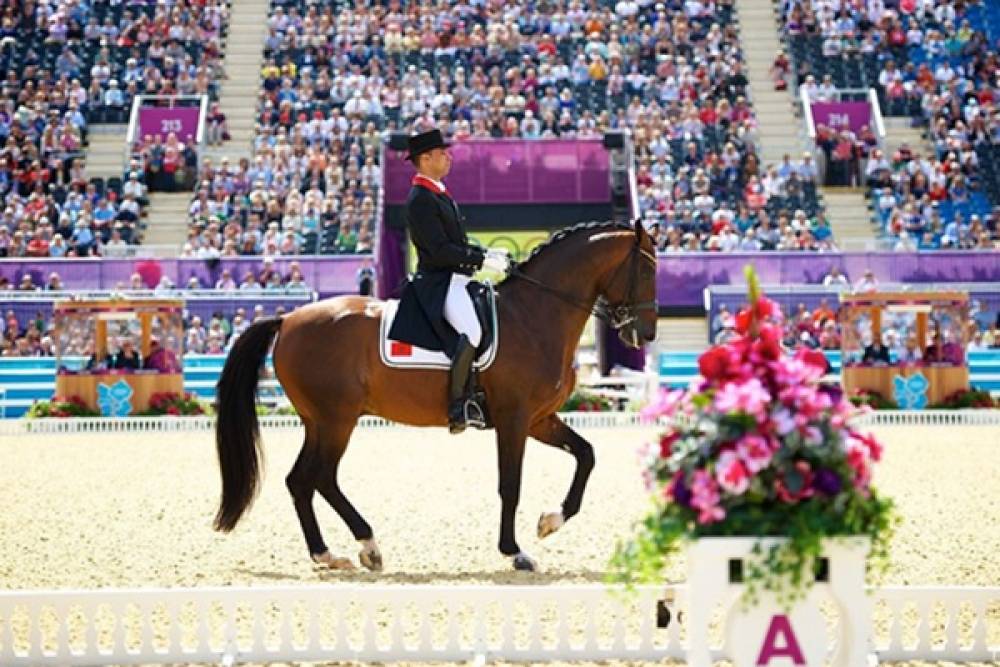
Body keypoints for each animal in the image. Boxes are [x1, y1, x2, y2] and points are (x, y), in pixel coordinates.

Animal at [215, 217, 660, 572]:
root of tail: (288, 318)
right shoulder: (514, 419)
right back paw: (367, 545)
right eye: (646, 271)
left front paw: (550, 521)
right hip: (336, 419)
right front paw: (514, 551)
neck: (536, 315)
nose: (646, 333)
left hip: (318, 421)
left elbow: (586, 454)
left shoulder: (539, 419)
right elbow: (510, 484)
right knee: (321, 477)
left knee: (301, 480)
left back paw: (329, 554)